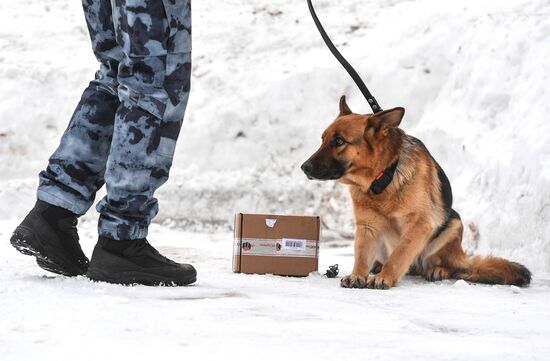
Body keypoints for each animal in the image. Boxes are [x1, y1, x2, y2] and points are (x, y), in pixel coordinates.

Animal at [304, 97, 532, 288]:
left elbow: (399, 254)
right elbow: (361, 254)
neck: (383, 178)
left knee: (451, 267)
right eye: (323, 139)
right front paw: (357, 274)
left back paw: (438, 270)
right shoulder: (367, 226)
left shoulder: (420, 224)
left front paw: (384, 277)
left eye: (339, 141)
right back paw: (377, 266)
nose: (304, 167)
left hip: (453, 224)